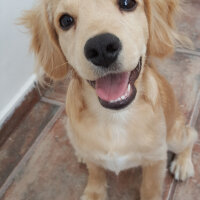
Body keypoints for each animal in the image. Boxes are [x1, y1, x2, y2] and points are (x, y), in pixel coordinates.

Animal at [20, 0, 197, 199]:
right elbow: (96, 173)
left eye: (127, 3)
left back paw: (183, 164)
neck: (113, 117)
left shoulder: (155, 159)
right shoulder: (93, 156)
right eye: (65, 21)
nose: (101, 48)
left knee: (191, 135)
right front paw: (94, 192)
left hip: (174, 137)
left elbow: (150, 188)